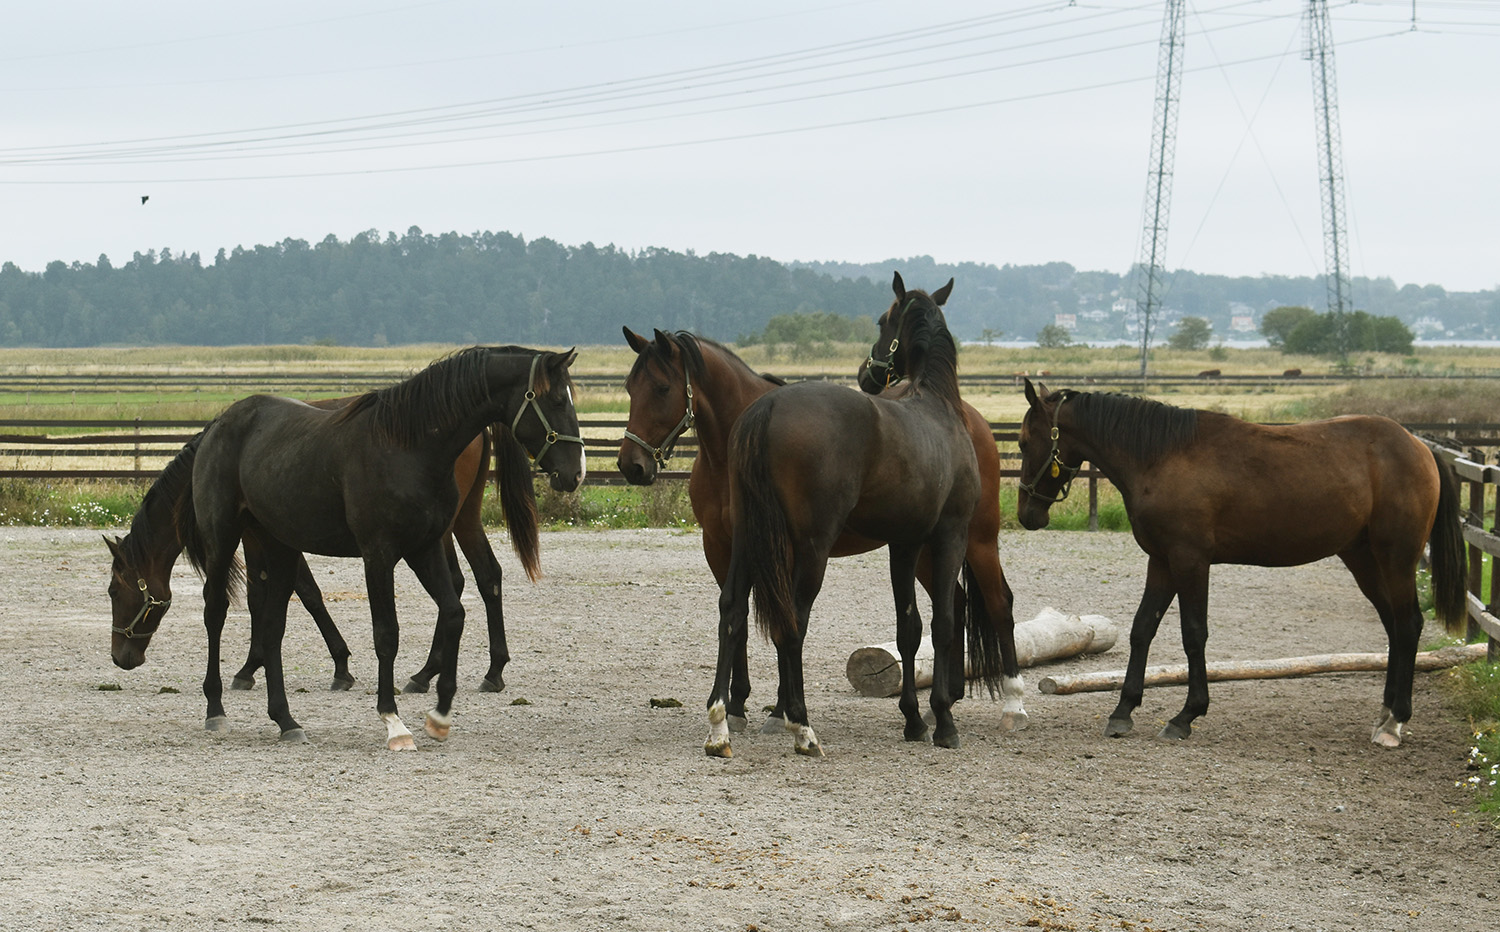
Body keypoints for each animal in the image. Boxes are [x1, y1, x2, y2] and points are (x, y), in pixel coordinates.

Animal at [181, 346, 585, 747]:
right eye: (553, 399)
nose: (576, 472)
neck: (410, 448)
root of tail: (219, 423)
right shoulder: (379, 554)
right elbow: (387, 634)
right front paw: (393, 722)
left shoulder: (424, 548)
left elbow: (454, 613)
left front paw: (440, 714)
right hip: (223, 539)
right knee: (215, 612)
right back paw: (215, 709)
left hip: (278, 546)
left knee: (271, 626)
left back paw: (286, 720)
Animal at [702, 273, 996, 753]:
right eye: (881, 318)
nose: (866, 373)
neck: (940, 409)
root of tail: (768, 407)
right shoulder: (949, 536)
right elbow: (944, 622)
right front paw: (943, 721)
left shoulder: (904, 543)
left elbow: (909, 628)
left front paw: (913, 720)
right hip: (811, 548)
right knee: (793, 624)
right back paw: (801, 726)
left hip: (746, 537)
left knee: (731, 610)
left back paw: (719, 724)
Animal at [1020, 373, 1464, 744]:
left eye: (1024, 442)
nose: (1027, 514)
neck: (1162, 457)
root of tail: (1420, 446)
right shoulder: (1161, 561)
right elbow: (1142, 629)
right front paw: (1123, 710)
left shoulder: (1190, 560)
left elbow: (1193, 634)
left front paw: (1186, 715)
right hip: (1364, 560)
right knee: (1393, 627)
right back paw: (1385, 713)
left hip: (1397, 559)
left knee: (1408, 625)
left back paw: (1395, 722)